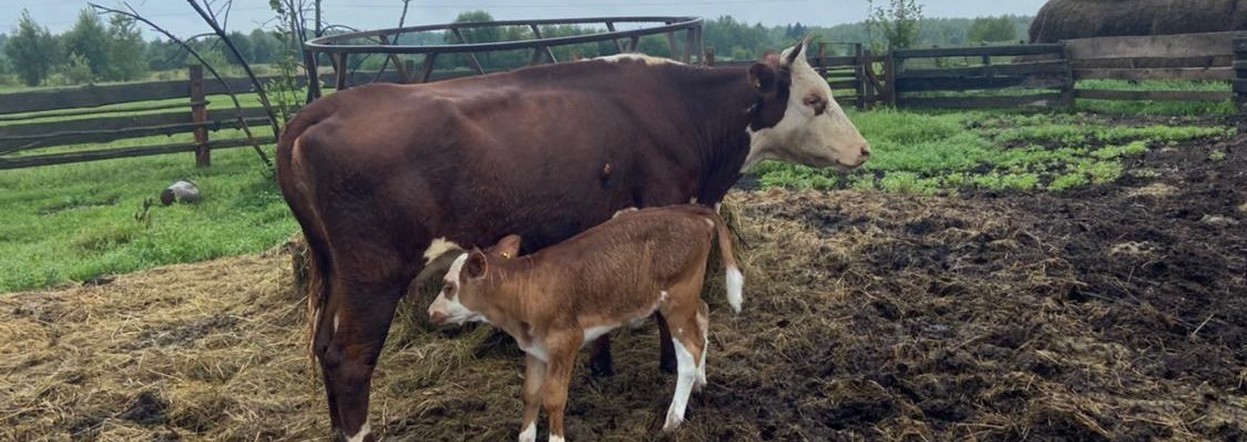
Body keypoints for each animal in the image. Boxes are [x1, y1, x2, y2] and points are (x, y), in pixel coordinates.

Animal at [428, 206, 738, 439]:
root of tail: (687, 212)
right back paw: (700, 380)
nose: (431, 312)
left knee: (690, 348)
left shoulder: (565, 342)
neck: (525, 289)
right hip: (687, 297)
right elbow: (530, 394)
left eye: (448, 287)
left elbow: (554, 398)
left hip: (677, 298)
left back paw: (673, 419)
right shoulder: (534, 348)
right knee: (703, 314)